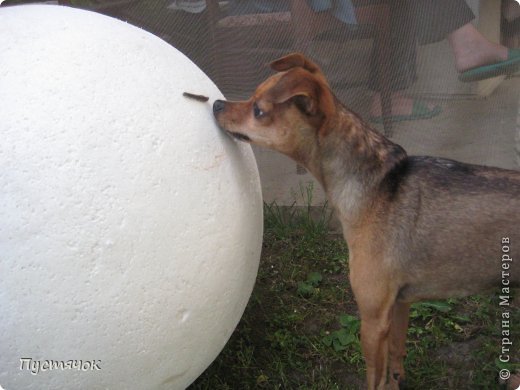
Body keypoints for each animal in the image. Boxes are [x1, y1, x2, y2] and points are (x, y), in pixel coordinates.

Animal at [212, 53, 520, 388]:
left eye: (258, 110)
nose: (216, 104)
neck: (374, 183)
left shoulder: (372, 320)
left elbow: (374, 378)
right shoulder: (399, 304)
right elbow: (396, 356)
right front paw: (397, 380)